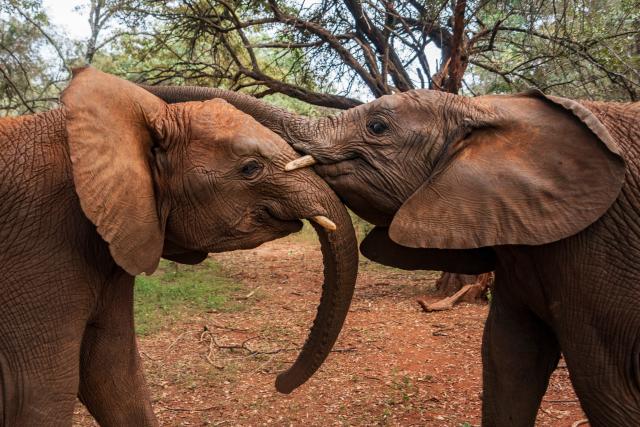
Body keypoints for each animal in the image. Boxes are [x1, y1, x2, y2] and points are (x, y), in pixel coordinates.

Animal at [144, 83, 640, 426]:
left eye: (378, 127)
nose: (279, 382)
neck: (488, 109)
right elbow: (507, 361)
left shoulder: (598, 245)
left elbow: (604, 384)